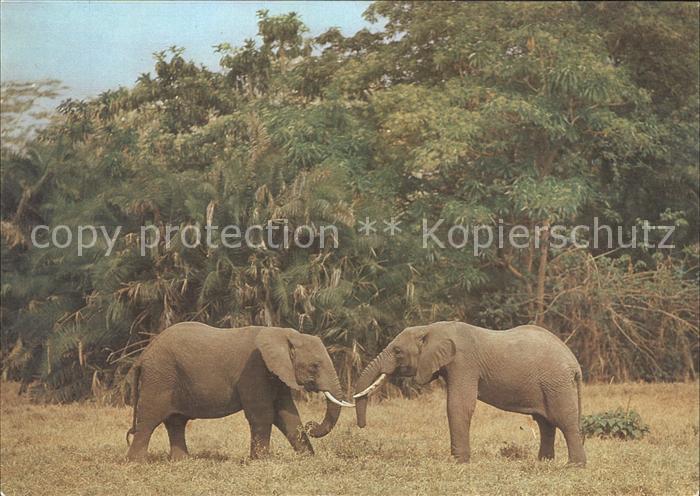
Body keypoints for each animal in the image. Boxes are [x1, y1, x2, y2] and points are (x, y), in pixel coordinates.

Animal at [125, 322, 353, 461]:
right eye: (315, 366)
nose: (312, 425)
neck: (283, 334)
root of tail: (143, 355)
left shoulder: (276, 373)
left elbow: (287, 414)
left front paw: (308, 458)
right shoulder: (254, 369)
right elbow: (263, 414)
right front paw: (261, 461)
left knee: (176, 422)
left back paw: (182, 461)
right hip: (159, 377)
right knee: (149, 420)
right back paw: (137, 463)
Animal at [353, 321, 586, 466]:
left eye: (397, 351)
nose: (362, 426)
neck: (431, 328)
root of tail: (574, 363)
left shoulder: (463, 363)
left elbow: (458, 405)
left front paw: (459, 462)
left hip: (556, 382)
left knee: (564, 420)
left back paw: (574, 466)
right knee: (545, 423)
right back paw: (544, 462)